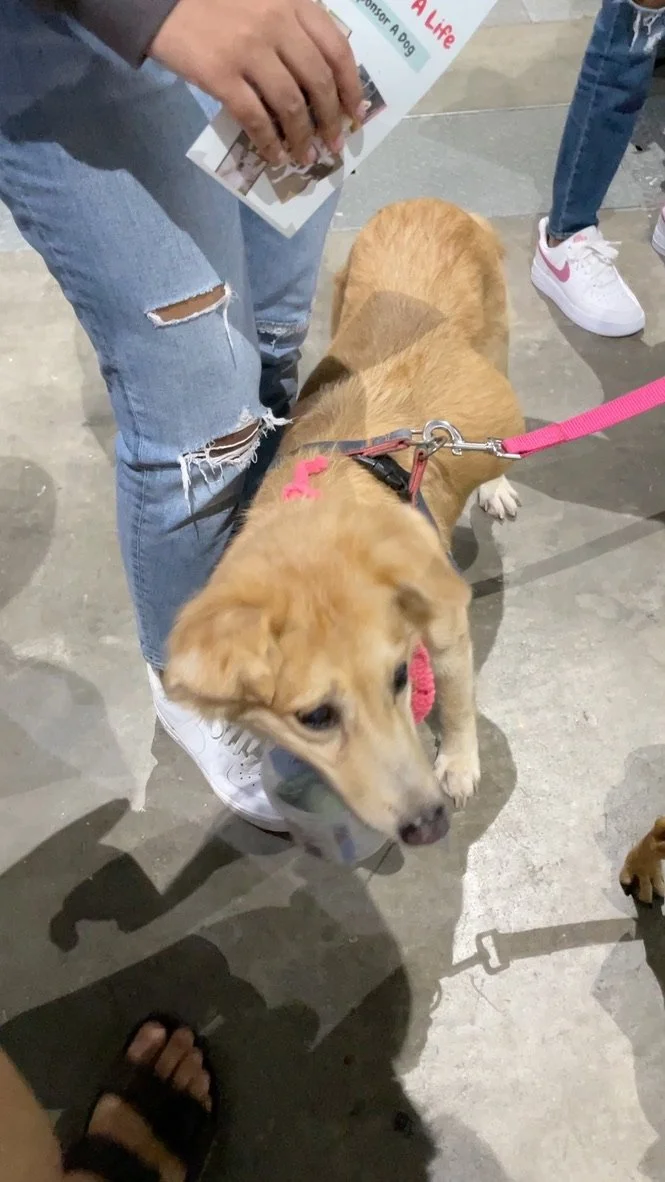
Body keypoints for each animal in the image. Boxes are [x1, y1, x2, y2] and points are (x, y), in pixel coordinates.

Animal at [166, 199, 525, 846]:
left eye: (401, 678)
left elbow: (457, 699)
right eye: (316, 717)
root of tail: (435, 203)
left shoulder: (446, 621)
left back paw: (497, 484)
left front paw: (460, 763)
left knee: (496, 446)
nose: (428, 826)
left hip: (496, 351)